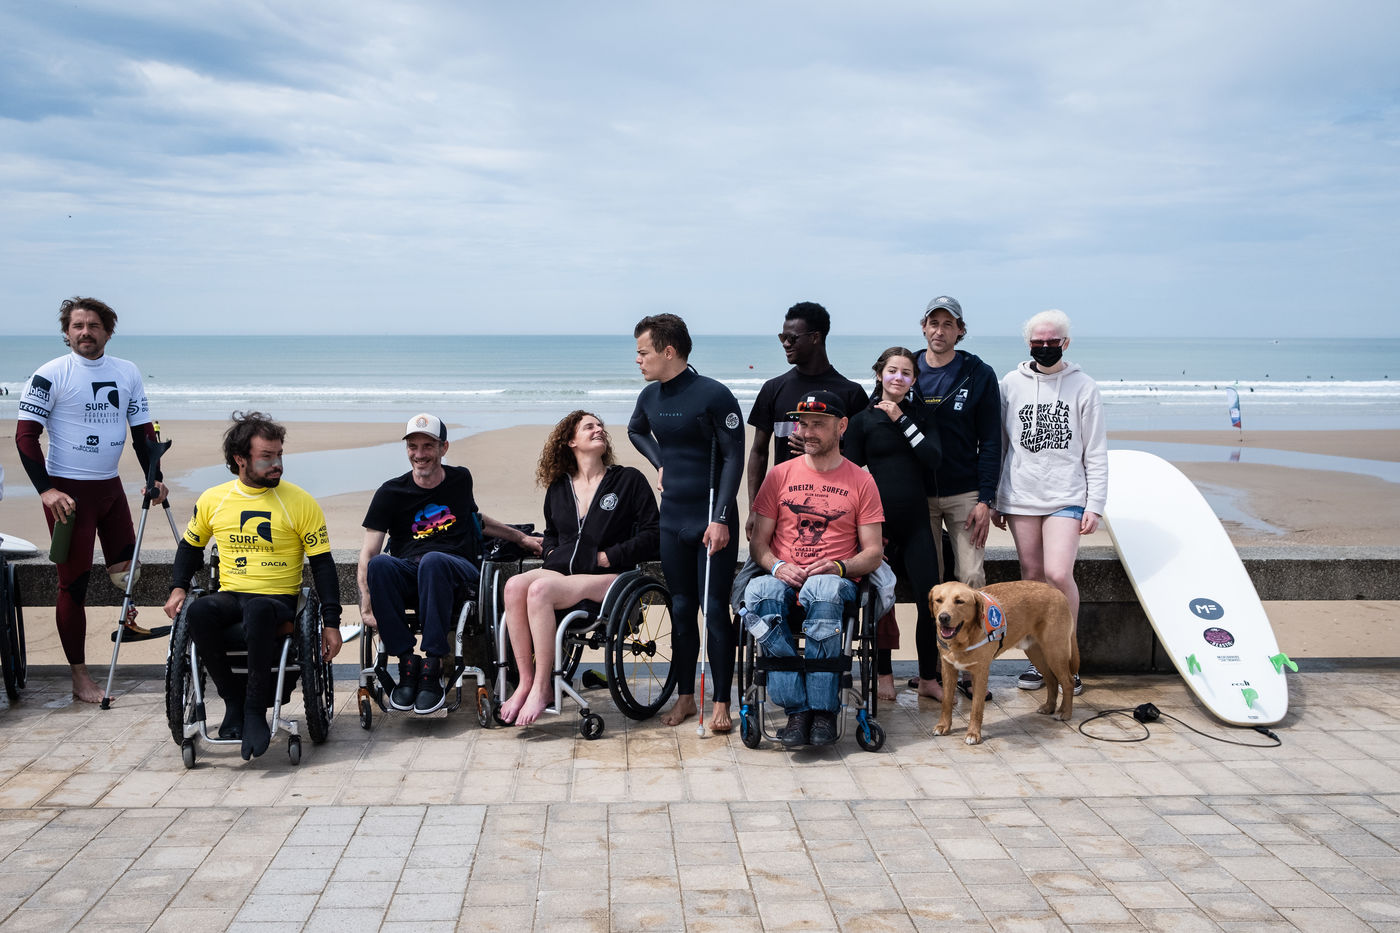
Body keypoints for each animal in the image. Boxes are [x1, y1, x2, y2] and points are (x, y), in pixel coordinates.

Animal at [929, 580, 1079, 745]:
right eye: (938, 600)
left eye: (960, 601)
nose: (943, 617)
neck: (961, 642)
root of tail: (1057, 591)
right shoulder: (948, 669)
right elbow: (946, 702)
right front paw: (943, 726)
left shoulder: (981, 672)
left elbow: (976, 707)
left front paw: (973, 734)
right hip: (1036, 653)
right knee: (1052, 680)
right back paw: (1049, 707)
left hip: (1055, 651)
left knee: (1068, 682)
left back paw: (1065, 713)